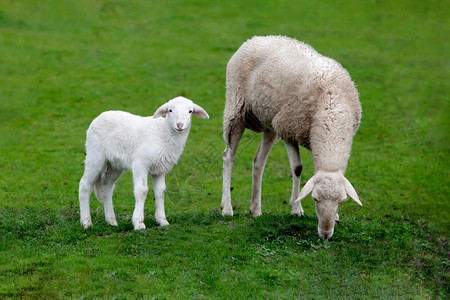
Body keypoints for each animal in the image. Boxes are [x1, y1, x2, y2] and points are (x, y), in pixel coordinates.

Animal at [78, 96, 209, 230]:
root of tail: (99, 116)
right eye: (170, 110)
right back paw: (86, 222)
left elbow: (161, 191)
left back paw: (111, 221)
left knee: (107, 184)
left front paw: (162, 221)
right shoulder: (140, 164)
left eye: (190, 111)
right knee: (84, 184)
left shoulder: (160, 169)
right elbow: (142, 190)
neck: (164, 133)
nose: (180, 125)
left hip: (116, 163)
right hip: (95, 155)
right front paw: (139, 223)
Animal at [221, 36, 362, 239]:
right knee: (228, 157)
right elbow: (297, 168)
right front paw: (296, 208)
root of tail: (255, 38)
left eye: (341, 201)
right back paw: (227, 208)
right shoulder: (288, 130)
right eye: (314, 198)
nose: (326, 234)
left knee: (258, 161)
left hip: (270, 123)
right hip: (236, 110)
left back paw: (256, 210)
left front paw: (336, 218)